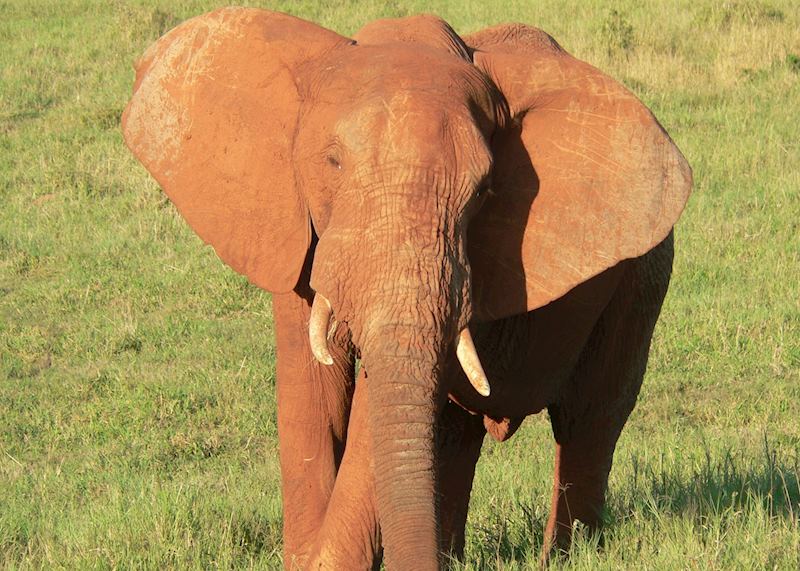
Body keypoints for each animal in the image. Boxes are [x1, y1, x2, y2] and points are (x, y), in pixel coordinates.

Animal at [121, 8, 691, 570]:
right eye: (331, 162)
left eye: (484, 190)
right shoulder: (296, 230)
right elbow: (311, 393)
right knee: (460, 432)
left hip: (643, 277)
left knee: (590, 417)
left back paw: (568, 555)